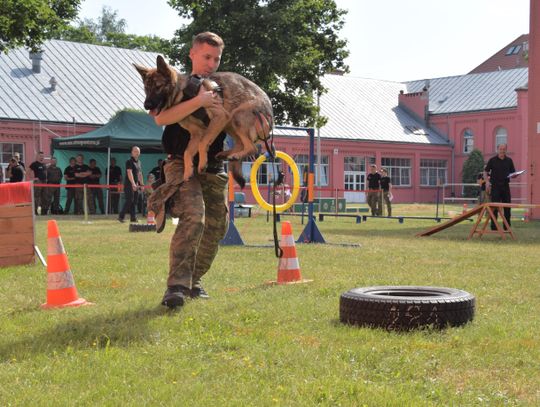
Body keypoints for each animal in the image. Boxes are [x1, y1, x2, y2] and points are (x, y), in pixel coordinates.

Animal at [133, 55, 272, 188]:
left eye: (158, 87)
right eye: (146, 89)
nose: (146, 105)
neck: (184, 95)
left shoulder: (219, 117)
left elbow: (202, 143)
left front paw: (202, 163)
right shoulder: (197, 133)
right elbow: (187, 152)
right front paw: (188, 171)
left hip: (236, 117)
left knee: (251, 147)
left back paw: (236, 155)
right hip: (229, 123)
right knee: (240, 144)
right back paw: (225, 154)